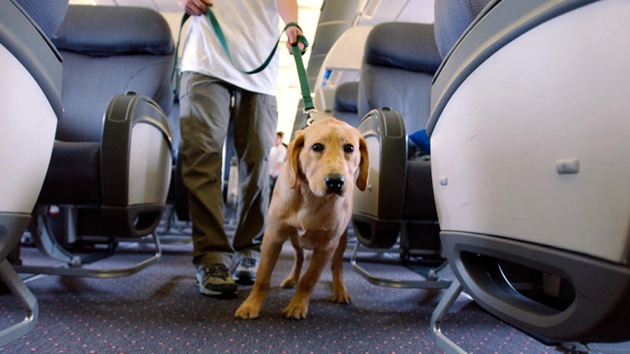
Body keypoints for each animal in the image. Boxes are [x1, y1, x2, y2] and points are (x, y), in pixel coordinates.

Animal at [235, 117, 368, 320]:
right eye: (317, 147)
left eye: (349, 148)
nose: (335, 182)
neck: (310, 196)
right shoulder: (273, 236)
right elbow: (263, 276)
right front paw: (251, 305)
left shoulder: (327, 246)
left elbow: (309, 279)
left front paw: (297, 305)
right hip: (294, 238)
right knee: (300, 256)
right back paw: (292, 278)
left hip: (341, 240)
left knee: (337, 266)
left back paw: (340, 290)